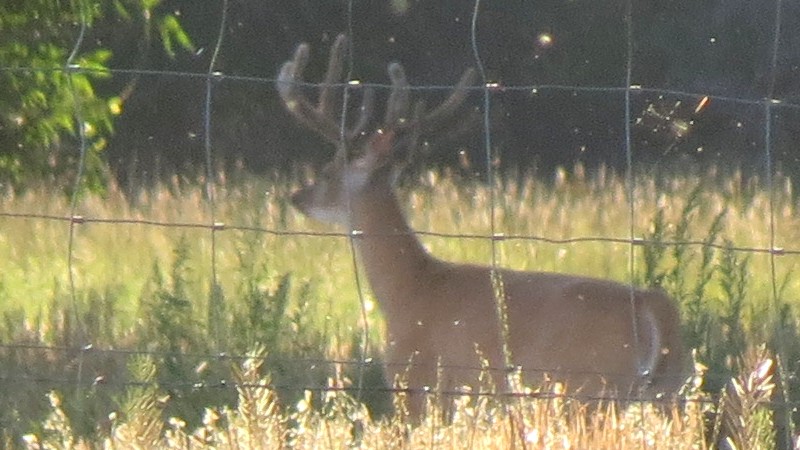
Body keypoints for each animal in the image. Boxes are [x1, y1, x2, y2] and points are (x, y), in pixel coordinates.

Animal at [276, 33, 688, 416]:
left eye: (328, 173)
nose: (297, 197)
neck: (409, 287)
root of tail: (654, 307)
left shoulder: (416, 381)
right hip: (670, 395)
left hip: (590, 391)